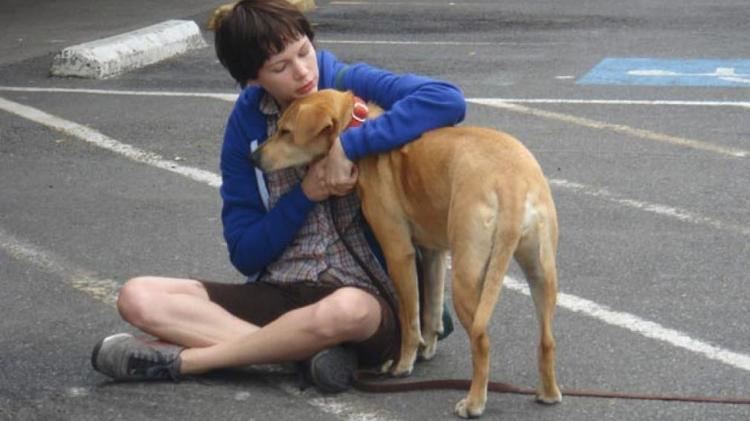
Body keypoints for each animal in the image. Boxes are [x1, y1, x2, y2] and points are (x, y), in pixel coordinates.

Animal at [254, 89, 564, 416]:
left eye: (286, 132)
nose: (253, 157)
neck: (356, 127)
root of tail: (510, 181)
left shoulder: (398, 253)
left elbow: (409, 316)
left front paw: (403, 364)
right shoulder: (433, 253)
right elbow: (430, 310)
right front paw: (427, 348)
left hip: (467, 278)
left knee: (481, 342)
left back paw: (474, 402)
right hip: (541, 274)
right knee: (547, 339)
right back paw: (548, 392)